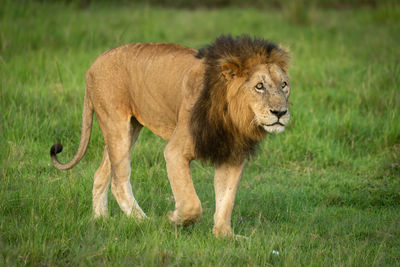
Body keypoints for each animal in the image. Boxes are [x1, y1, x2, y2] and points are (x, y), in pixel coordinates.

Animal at [51, 34, 292, 238]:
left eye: (284, 85)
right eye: (259, 86)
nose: (280, 112)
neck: (233, 118)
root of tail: (94, 63)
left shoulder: (232, 155)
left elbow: (226, 200)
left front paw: (224, 235)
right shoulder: (176, 151)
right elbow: (191, 203)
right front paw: (173, 219)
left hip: (130, 129)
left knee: (101, 174)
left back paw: (101, 220)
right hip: (116, 124)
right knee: (119, 181)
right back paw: (143, 222)